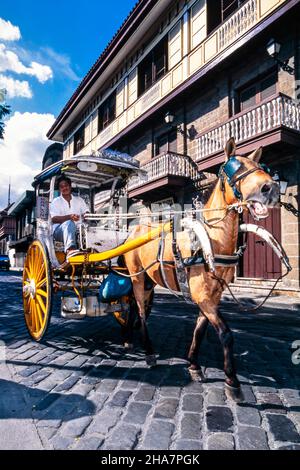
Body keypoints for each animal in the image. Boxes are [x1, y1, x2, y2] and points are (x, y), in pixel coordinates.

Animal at [124, 138, 278, 398]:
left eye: (262, 166)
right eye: (234, 169)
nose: (271, 188)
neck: (210, 239)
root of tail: (133, 231)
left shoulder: (212, 295)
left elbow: (200, 329)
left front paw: (194, 365)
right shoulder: (201, 295)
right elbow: (225, 334)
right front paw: (232, 381)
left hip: (148, 281)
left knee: (137, 307)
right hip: (136, 277)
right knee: (142, 311)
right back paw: (149, 351)